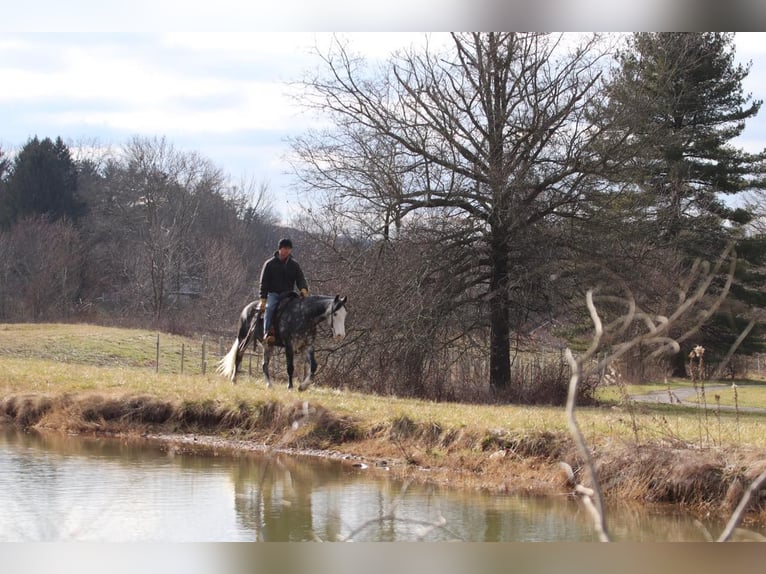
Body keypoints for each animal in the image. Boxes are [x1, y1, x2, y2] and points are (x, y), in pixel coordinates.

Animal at [216, 294, 348, 394]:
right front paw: (290, 387)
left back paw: (269, 385)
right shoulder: (289, 346)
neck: (303, 316)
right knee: (239, 354)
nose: (340, 335)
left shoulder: (307, 346)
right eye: (335, 314)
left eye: (345, 314)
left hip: (267, 345)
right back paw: (234, 379)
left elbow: (314, 366)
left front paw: (303, 386)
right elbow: (290, 367)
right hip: (245, 338)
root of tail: (246, 309)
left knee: (264, 365)